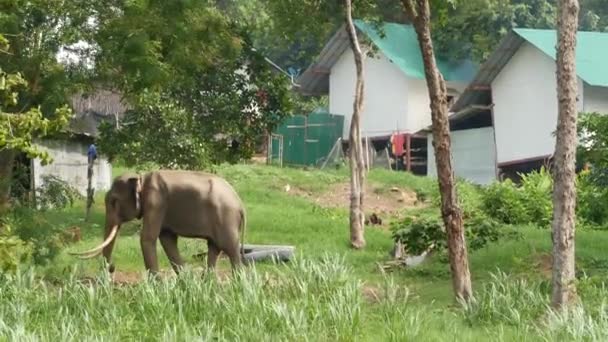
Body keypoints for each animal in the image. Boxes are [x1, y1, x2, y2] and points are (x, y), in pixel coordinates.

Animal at [68, 170, 245, 276]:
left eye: (114, 201)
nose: (112, 267)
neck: (141, 177)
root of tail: (240, 204)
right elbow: (167, 240)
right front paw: (185, 281)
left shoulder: (156, 202)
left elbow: (147, 238)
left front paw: (156, 285)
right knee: (214, 248)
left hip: (226, 219)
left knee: (230, 249)